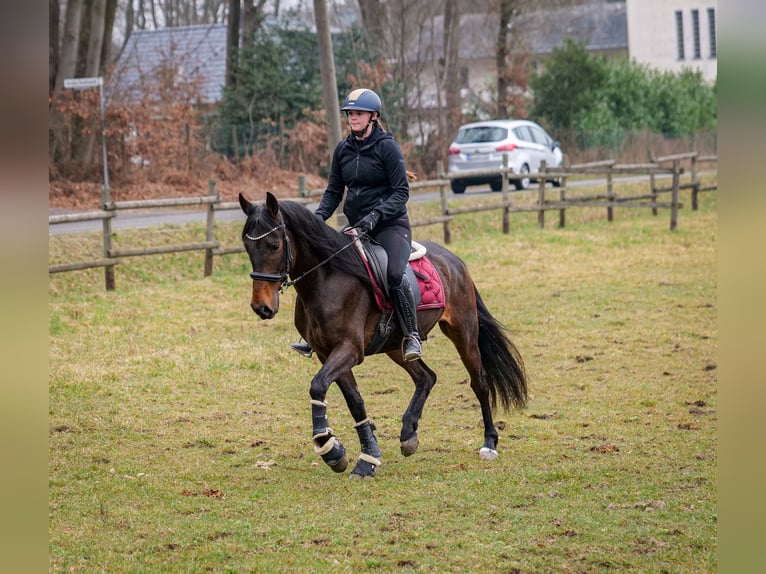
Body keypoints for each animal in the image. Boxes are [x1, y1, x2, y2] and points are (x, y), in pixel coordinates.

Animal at [240, 191, 528, 480]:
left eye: (274, 245)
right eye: (247, 247)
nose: (260, 307)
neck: (326, 281)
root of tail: (454, 260)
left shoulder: (349, 349)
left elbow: (318, 385)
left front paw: (330, 448)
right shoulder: (326, 352)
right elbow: (355, 401)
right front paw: (367, 456)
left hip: (463, 332)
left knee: (479, 382)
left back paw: (489, 443)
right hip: (396, 346)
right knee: (426, 377)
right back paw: (408, 434)